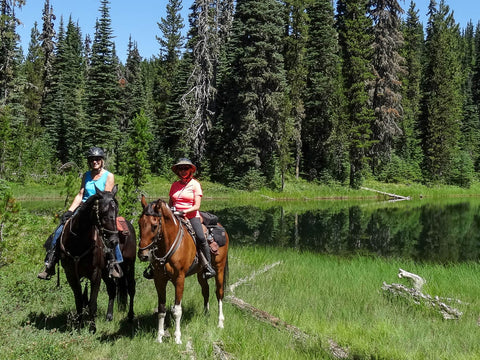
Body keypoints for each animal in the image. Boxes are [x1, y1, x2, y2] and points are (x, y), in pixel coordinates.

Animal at [59, 186, 137, 332]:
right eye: (104, 212)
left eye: (116, 210)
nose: (114, 241)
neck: (78, 242)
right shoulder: (71, 274)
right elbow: (79, 300)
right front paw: (78, 326)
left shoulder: (95, 273)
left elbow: (92, 303)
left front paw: (92, 328)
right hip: (107, 272)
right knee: (112, 288)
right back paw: (109, 316)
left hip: (129, 265)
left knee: (131, 288)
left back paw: (130, 316)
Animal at [138, 195, 230, 344]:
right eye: (139, 224)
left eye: (154, 226)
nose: (143, 255)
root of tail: (221, 227)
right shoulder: (159, 280)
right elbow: (161, 309)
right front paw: (159, 337)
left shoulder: (179, 279)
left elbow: (177, 310)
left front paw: (177, 338)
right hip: (200, 272)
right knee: (206, 291)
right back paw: (206, 315)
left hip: (220, 268)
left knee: (219, 293)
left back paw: (220, 322)